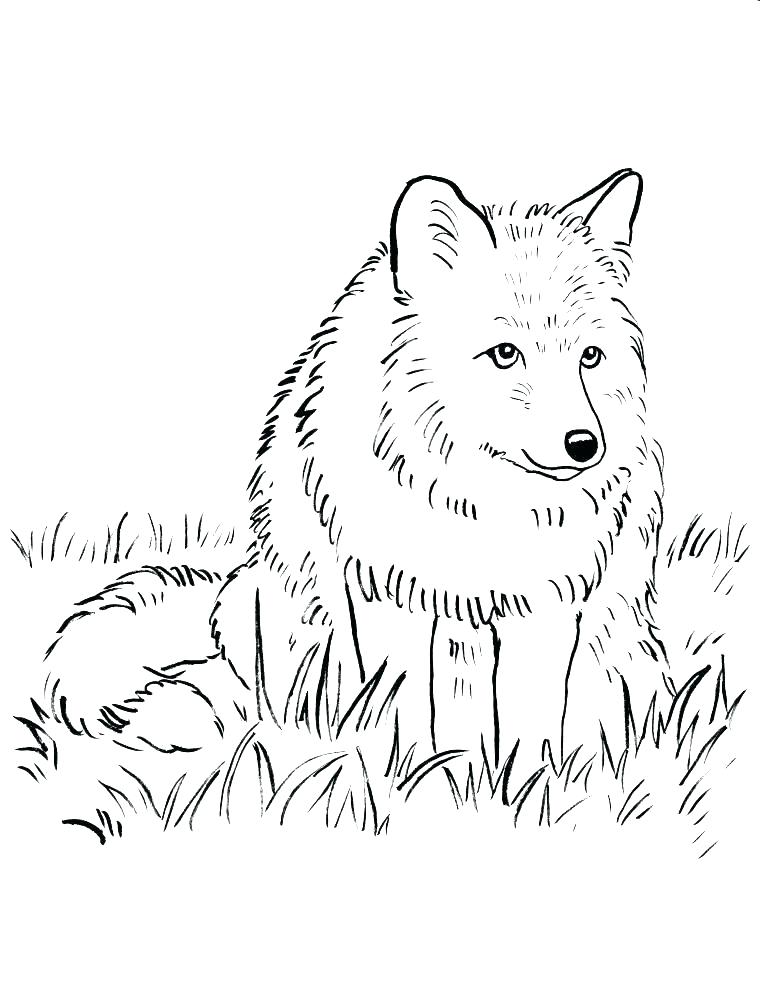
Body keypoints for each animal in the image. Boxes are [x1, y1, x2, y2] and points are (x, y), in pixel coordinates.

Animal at [37, 169, 669, 807]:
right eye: (504, 354)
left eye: (590, 356)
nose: (585, 445)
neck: (476, 505)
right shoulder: (387, 593)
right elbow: (405, 712)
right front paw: (411, 785)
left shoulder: (548, 605)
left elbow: (531, 724)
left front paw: (526, 792)